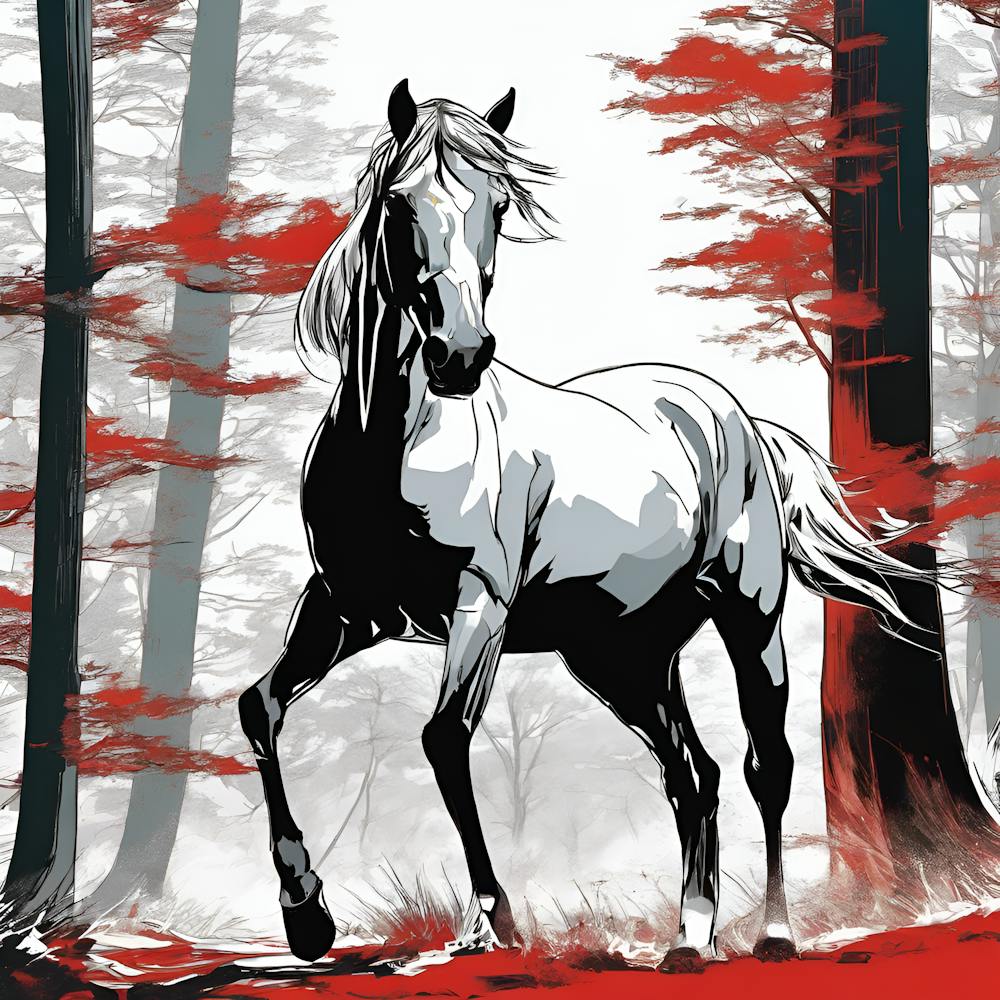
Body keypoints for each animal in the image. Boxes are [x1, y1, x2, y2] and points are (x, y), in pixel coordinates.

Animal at [238, 79, 932, 971]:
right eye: (397, 201)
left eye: (498, 203)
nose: (460, 355)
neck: (395, 445)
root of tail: (738, 419)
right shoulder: (345, 608)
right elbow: (261, 707)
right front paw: (306, 914)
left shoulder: (480, 607)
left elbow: (443, 738)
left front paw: (493, 919)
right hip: (623, 657)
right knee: (694, 776)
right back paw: (689, 938)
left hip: (749, 619)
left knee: (764, 766)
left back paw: (772, 934)